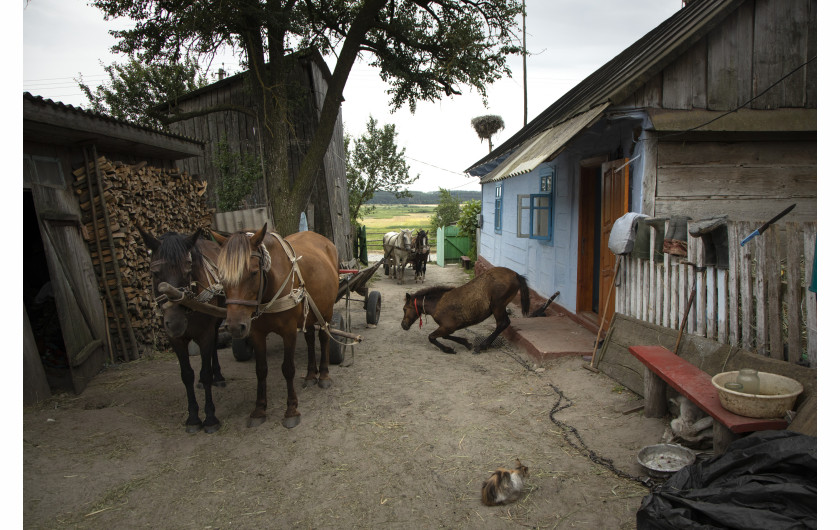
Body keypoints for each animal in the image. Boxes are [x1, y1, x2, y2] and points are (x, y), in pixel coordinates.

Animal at [213, 221, 338, 426]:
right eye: (221, 276)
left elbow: (288, 368)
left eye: (254, 272)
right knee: (310, 339)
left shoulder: (288, 332)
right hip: (309, 312)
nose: (234, 326)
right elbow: (261, 369)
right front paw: (259, 409)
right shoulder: (256, 333)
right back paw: (311, 374)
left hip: (326, 311)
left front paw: (291, 410)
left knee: (323, 337)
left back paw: (324, 375)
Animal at [402, 266, 532, 352]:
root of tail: (515, 274)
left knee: (502, 323)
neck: (437, 303)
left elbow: (431, 337)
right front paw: (466, 343)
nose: (403, 325)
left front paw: (448, 349)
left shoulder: (447, 326)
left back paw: (481, 346)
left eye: (404, 309)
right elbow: (445, 336)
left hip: (498, 306)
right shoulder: (448, 327)